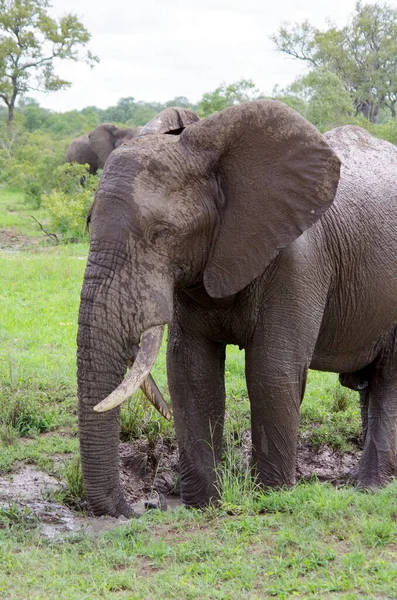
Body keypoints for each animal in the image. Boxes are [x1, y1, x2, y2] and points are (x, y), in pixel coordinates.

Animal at [76, 98, 396, 516]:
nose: (136, 509)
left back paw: (369, 487)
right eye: (88, 222)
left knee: (389, 380)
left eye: (162, 233)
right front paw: (204, 505)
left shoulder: (300, 262)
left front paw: (271, 498)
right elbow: (190, 371)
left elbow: (271, 370)